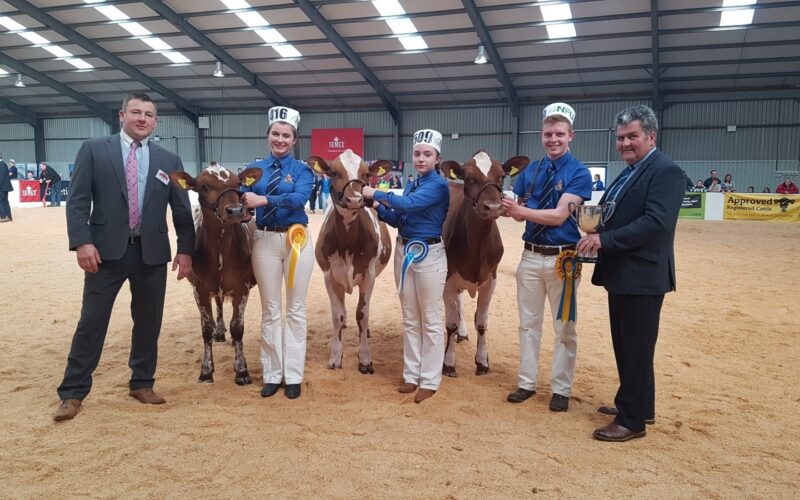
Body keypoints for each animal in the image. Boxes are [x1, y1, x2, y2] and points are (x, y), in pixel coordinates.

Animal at [170, 165, 263, 385]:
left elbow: (238, 327)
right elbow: (205, 330)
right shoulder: (199, 290)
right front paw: (205, 371)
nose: (236, 210)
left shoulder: (242, 288)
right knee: (218, 307)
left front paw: (242, 370)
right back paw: (219, 331)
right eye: (204, 186)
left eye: (238, 183)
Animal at [307, 150, 393, 374]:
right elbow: (337, 316)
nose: (355, 199)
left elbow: (362, 314)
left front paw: (365, 359)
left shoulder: (369, 275)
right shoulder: (329, 276)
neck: (347, 241)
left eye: (366, 174)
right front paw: (336, 357)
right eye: (334, 172)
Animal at [439, 151, 529, 377]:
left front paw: (482, 361)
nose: (494, 207)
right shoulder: (447, 277)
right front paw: (448, 362)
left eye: (502, 177)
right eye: (469, 178)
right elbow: (450, 322)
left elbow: (481, 322)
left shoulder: (491, 278)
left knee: (460, 302)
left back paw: (463, 333)